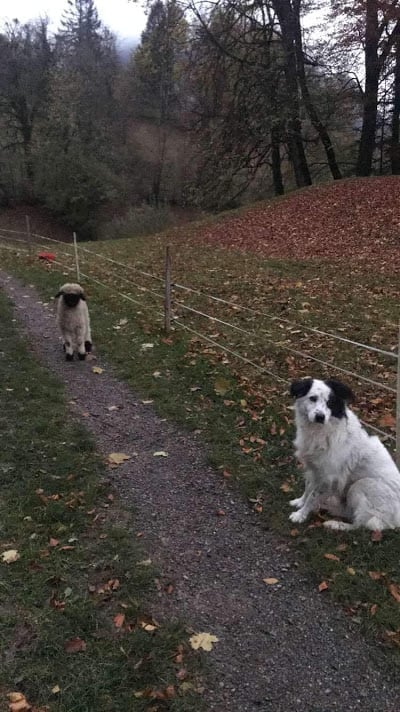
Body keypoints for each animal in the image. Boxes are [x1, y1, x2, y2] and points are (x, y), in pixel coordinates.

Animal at [290, 378, 400, 528]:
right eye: (313, 398)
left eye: (330, 402)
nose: (320, 417)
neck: (320, 431)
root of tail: (397, 519)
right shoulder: (313, 468)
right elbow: (308, 488)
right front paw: (300, 502)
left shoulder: (328, 478)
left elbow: (312, 496)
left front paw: (301, 514)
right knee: (350, 513)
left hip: (360, 485)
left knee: (360, 524)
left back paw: (335, 524)